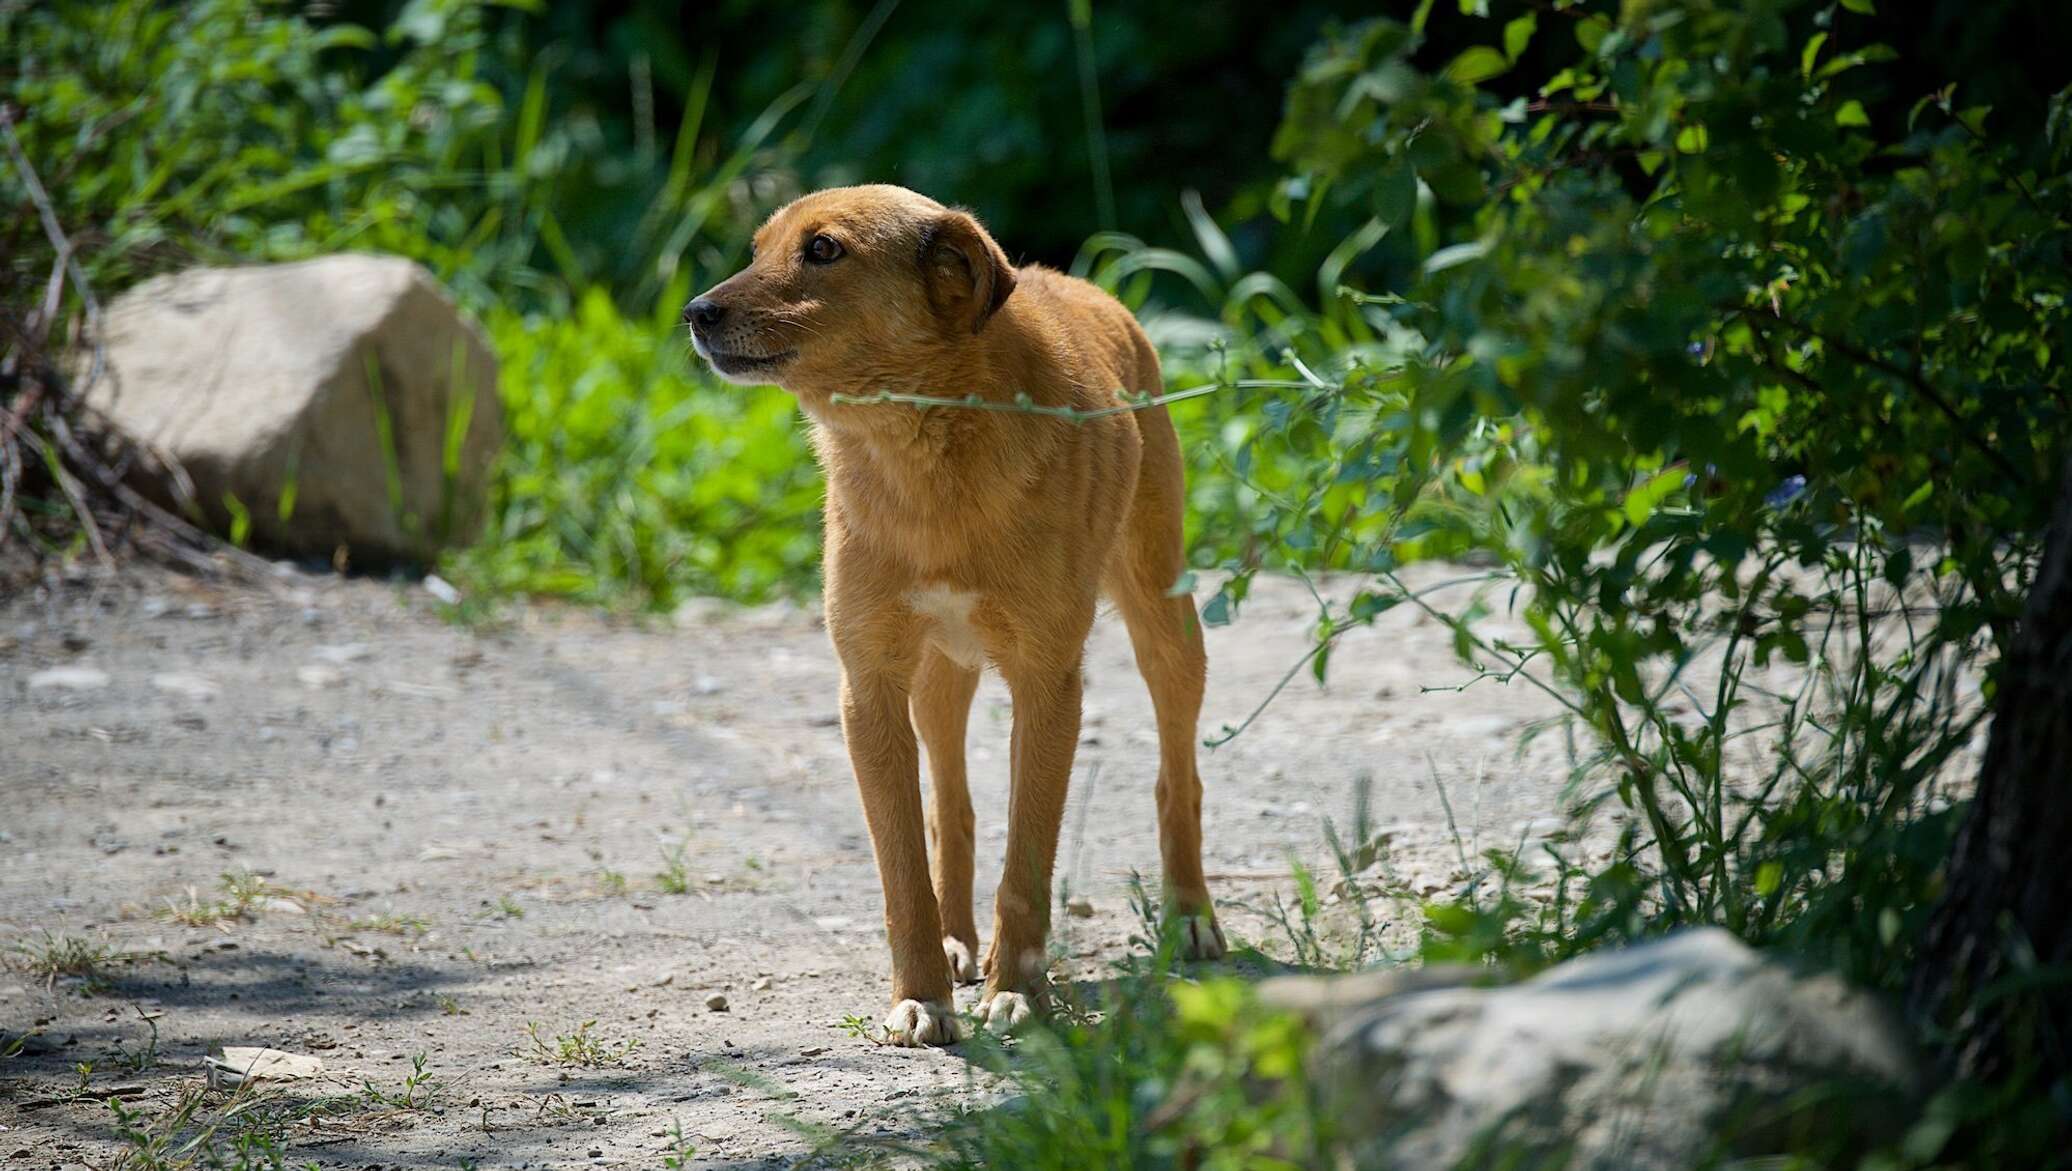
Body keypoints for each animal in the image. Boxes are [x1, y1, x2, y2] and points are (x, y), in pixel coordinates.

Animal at [687, 187, 1218, 1044]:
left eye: (824, 250)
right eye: (759, 248)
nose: (695, 312)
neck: (922, 459)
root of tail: (1074, 282)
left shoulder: (1047, 684)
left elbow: (1027, 861)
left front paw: (1020, 991)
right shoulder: (868, 688)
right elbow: (906, 867)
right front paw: (923, 991)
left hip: (1166, 625)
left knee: (1179, 777)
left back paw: (1192, 912)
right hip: (939, 679)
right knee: (954, 808)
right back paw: (958, 939)